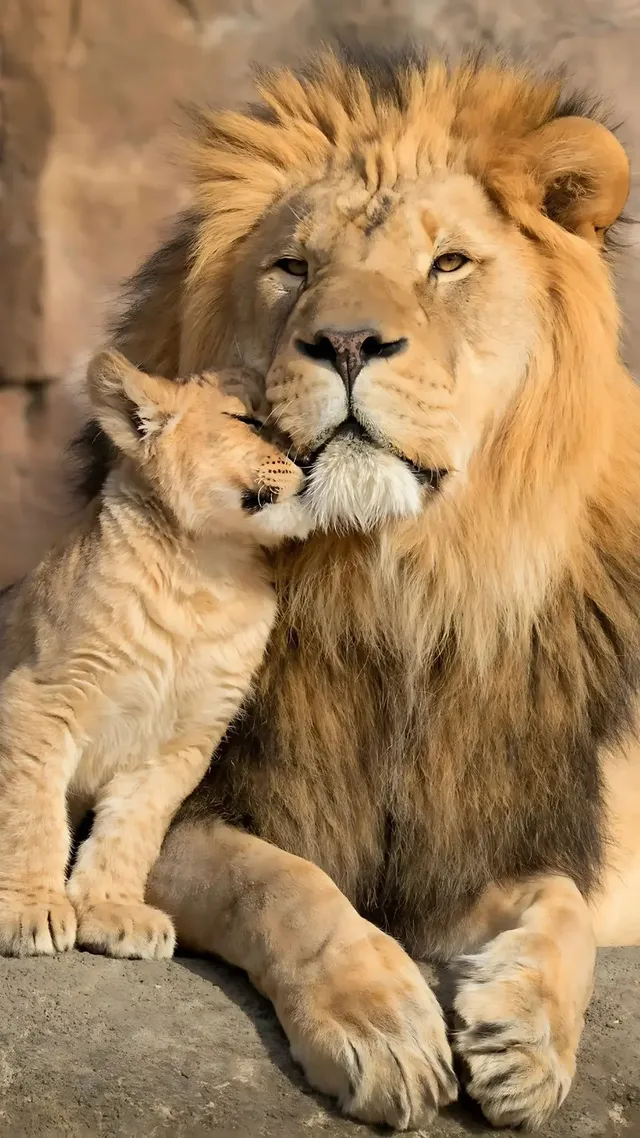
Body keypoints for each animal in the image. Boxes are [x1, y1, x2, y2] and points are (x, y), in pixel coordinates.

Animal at [0, 350, 309, 959]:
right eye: (248, 420)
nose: (312, 457)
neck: (207, 574)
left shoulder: (184, 741)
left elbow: (134, 827)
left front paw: (112, 911)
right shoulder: (41, 696)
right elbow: (31, 810)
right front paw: (29, 909)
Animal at [63, 43, 640, 1131]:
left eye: (447, 264)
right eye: (295, 267)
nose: (344, 343)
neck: (393, 585)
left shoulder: (487, 838)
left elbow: (564, 907)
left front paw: (525, 1040)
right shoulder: (179, 806)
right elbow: (281, 884)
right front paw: (384, 1027)